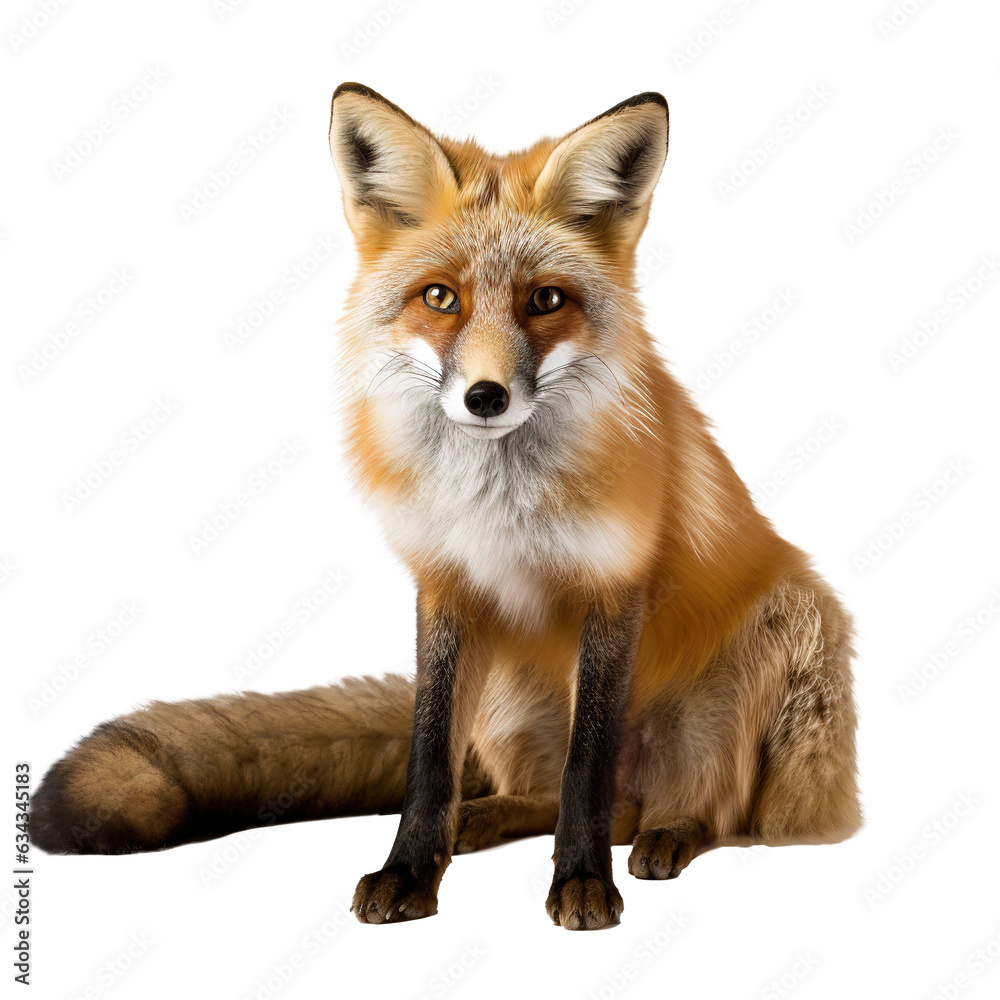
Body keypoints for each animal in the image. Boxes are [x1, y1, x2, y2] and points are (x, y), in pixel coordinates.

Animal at [31, 83, 861, 931]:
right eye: (440, 298)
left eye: (546, 300)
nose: (485, 396)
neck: (497, 503)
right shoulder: (446, 586)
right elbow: (430, 761)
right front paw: (409, 872)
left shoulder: (613, 586)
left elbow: (587, 771)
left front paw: (582, 883)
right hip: (508, 699)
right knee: (553, 794)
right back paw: (485, 820)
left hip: (780, 641)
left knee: (710, 811)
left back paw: (671, 835)